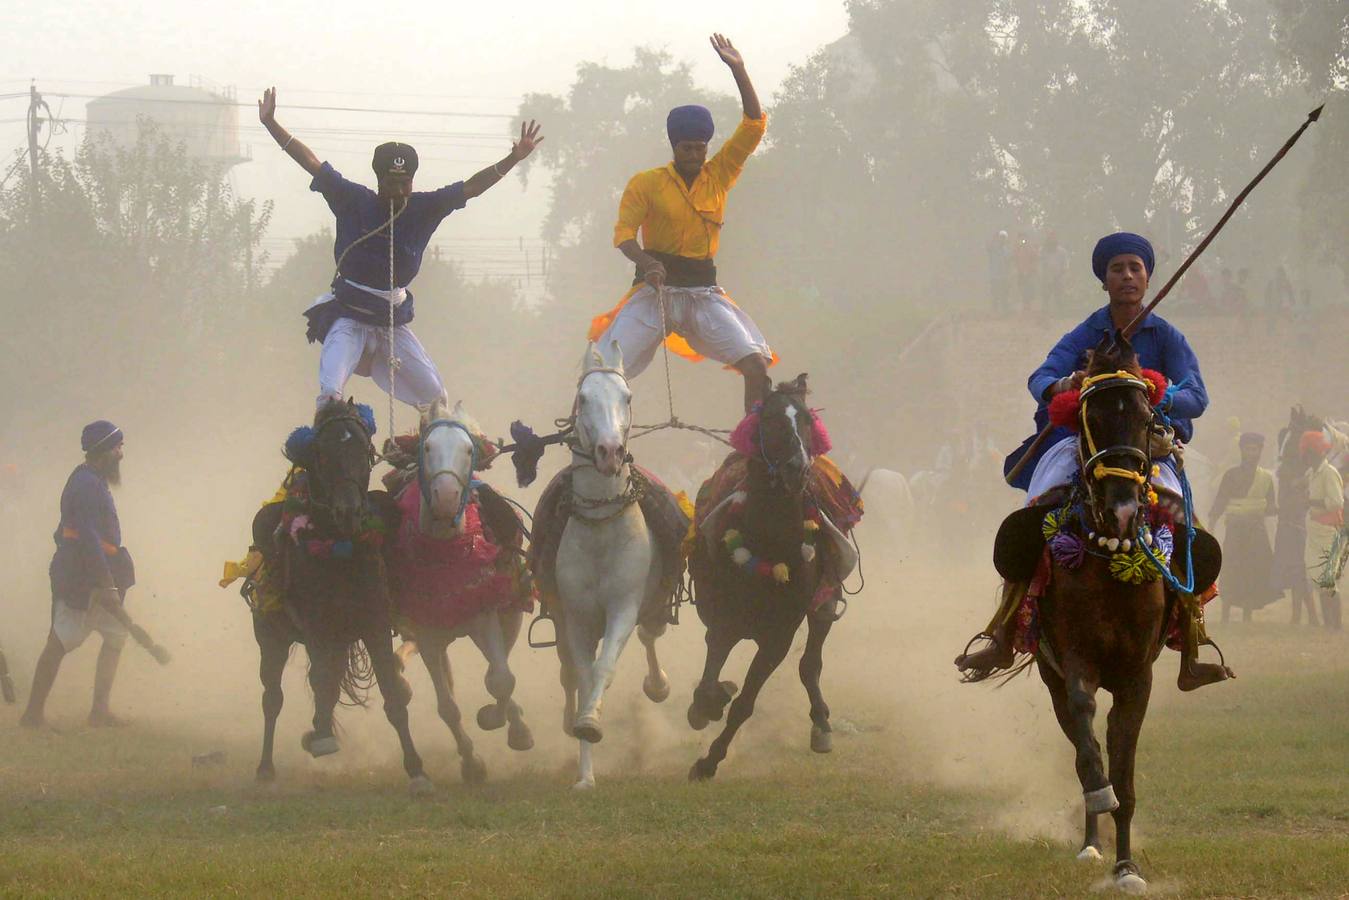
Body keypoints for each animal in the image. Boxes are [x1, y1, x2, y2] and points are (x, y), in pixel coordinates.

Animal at [248, 402, 426, 793]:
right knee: (272, 697)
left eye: (363, 450)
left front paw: (417, 770)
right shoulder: (317, 628)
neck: (339, 551)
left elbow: (391, 690)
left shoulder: (374, 624)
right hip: (270, 636)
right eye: (323, 453)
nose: (347, 511)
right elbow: (321, 682)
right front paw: (320, 737)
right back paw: (266, 768)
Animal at [553, 341, 669, 793]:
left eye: (628, 397)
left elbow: (605, 666)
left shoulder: (623, 605)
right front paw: (585, 771)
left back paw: (658, 685)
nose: (609, 452)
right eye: (583, 398)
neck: (601, 532)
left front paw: (589, 721)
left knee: (650, 636)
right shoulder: (577, 617)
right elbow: (585, 678)